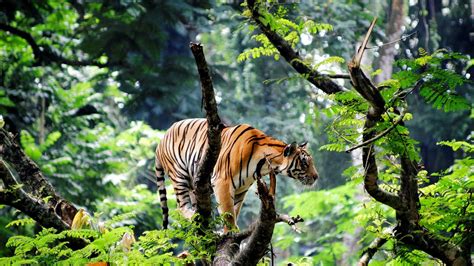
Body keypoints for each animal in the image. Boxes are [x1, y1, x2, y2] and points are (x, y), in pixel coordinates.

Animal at [156, 119, 318, 231]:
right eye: (304, 162)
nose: (316, 177)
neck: (264, 165)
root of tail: (161, 139)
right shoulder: (223, 181)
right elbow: (228, 211)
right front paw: (231, 231)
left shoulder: (241, 189)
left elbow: (235, 209)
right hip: (179, 176)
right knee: (180, 207)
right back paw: (194, 217)